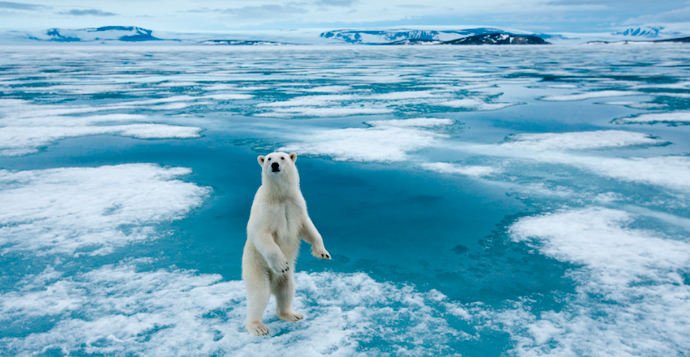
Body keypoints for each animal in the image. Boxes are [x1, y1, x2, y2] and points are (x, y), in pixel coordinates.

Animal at [242, 152, 330, 336]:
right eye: (269, 158)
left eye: (282, 157)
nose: (274, 165)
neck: (280, 196)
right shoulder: (265, 209)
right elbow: (261, 234)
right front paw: (282, 264)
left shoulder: (296, 205)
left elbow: (308, 227)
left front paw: (322, 253)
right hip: (256, 265)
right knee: (259, 294)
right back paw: (258, 326)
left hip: (286, 278)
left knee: (286, 290)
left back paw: (291, 314)